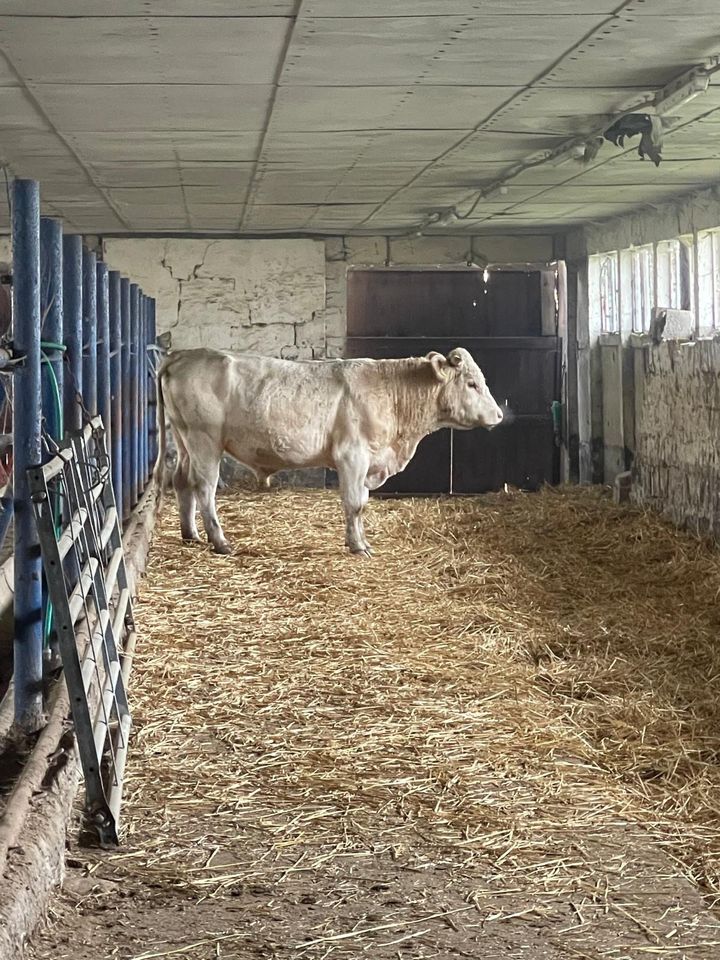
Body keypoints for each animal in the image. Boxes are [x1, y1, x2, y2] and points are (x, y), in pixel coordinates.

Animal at [153, 346, 500, 556]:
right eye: (472, 384)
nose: (498, 415)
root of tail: (182, 355)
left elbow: (360, 504)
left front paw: (359, 541)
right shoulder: (352, 456)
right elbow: (355, 504)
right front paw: (358, 546)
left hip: (186, 441)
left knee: (182, 481)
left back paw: (191, 534)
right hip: (205, 441)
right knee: (204, 488)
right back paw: (220, 541)